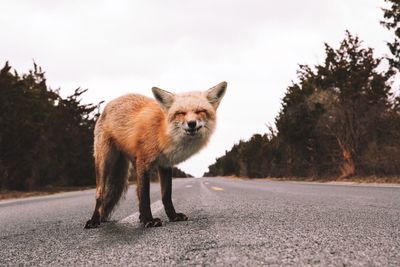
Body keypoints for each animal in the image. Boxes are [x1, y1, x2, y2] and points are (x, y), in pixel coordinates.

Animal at [84, 81, 227, 228]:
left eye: (200, 111)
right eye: (180, 113)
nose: (191, 124)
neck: (163, 132)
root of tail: (110, 103)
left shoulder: (165, 164)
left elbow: (166, 196)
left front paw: (172, 216)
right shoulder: (144, 162)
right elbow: (146, 196)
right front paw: (149, 220)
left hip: (133, 163)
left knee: (136, 192)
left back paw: (140, 217)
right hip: (105, 162)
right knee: (100, 194)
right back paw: (94, 220)